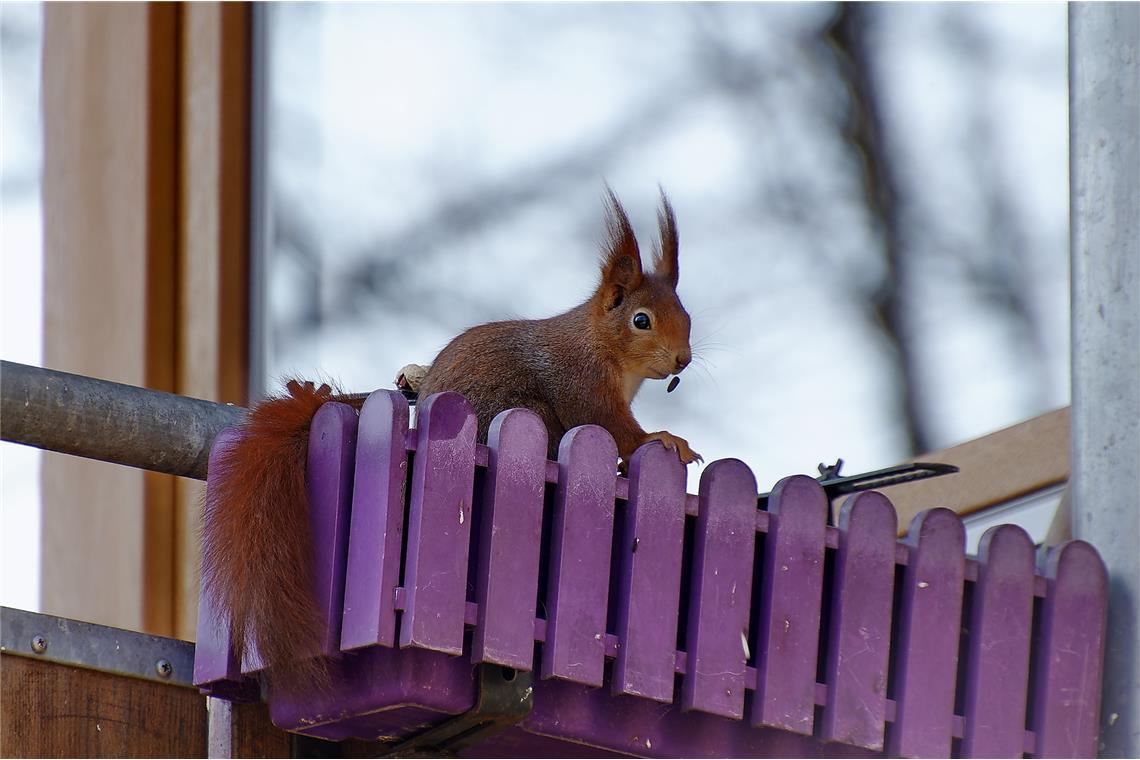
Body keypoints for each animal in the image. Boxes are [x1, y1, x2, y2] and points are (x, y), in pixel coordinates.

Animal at [206, 186, 702, 688]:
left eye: (686, 316)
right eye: (641, 321)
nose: (682, 359)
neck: (606, 347)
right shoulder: (584, 383)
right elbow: (614, 428)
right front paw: (664, 439)